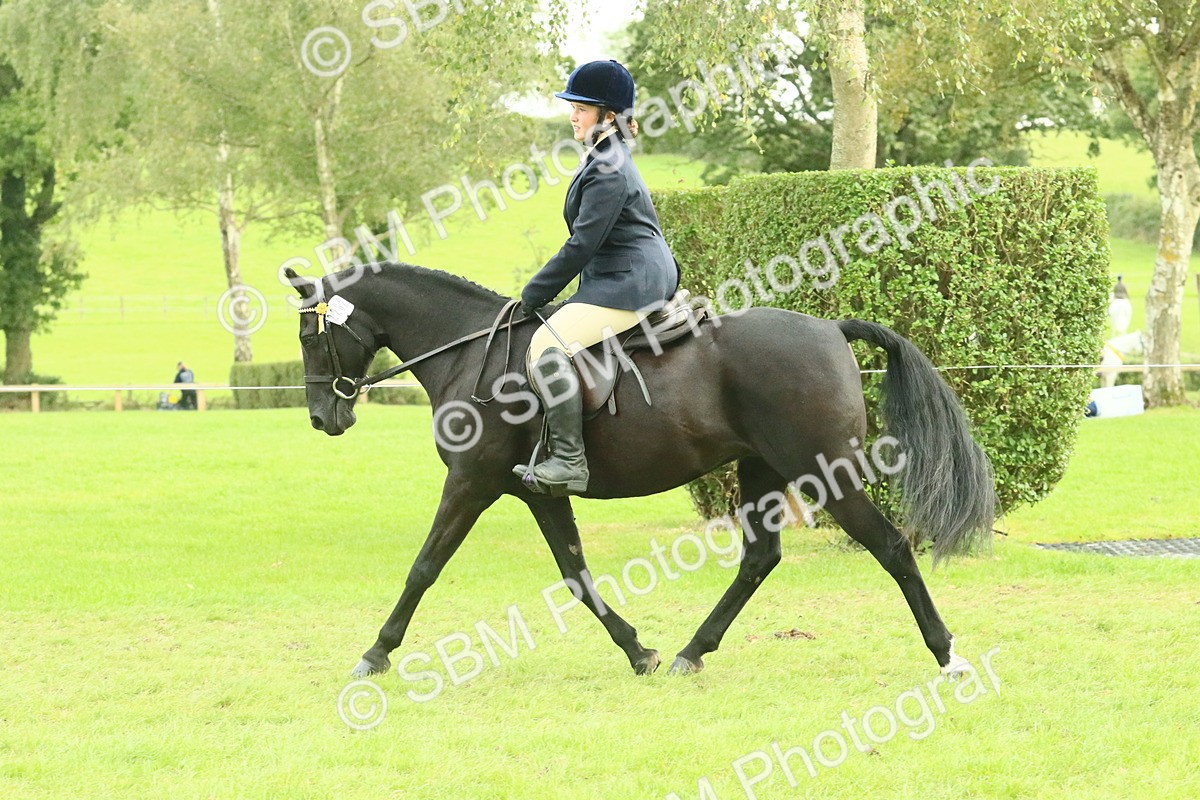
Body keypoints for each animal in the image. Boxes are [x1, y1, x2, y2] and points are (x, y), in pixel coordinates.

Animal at [283, 262, 995, 679]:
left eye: (309, 336)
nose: (321, 417)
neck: (468, 351)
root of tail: (829, 329)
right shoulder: (536, 492)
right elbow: (576, 575)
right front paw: (639, 650)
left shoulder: (472, 482)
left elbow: (424, 567)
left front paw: (375, 653)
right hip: (761, 469)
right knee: (759, 559)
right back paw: (689, 652)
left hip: (826, 469)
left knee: (891, 547)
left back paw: (947, 654)